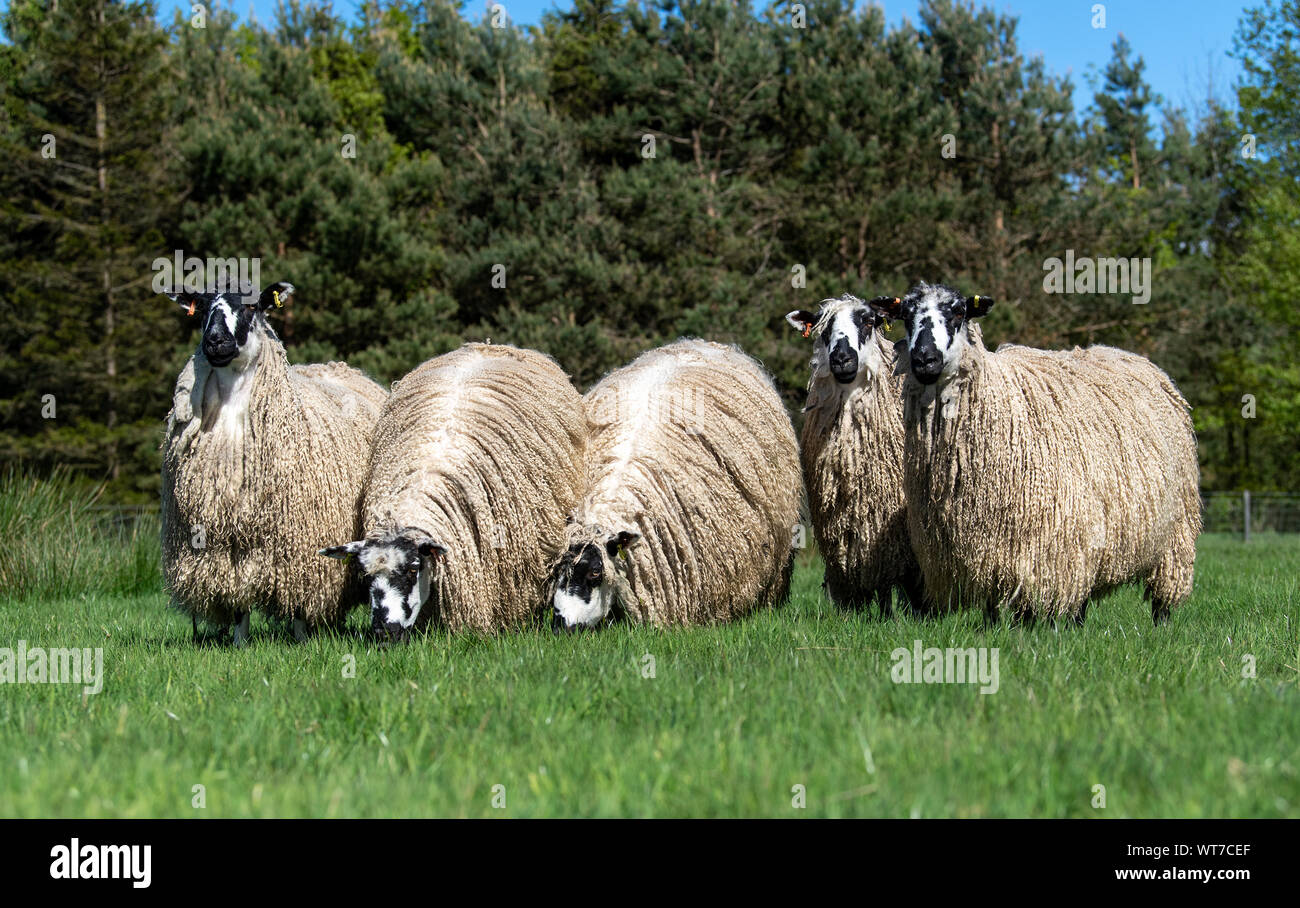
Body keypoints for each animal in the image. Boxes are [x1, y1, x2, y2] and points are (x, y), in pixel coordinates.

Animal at [157, 279, 384, 640]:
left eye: (252, 306)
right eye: (203, 308)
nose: (214, 341)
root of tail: (337, 366)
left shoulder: (302, 540)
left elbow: (300, 597)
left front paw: (302, 639)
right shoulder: (221, 543)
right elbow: (237, 598)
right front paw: (239, 642)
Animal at [868, 280, 1201, 621]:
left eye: (959, 312)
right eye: (907, 316)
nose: (925, 360)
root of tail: (1131, 357)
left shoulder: (1044, 542)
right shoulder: (985, 546)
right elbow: (992, 608)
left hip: (1175, 529)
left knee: (1163, 591)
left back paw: (1160, 620)